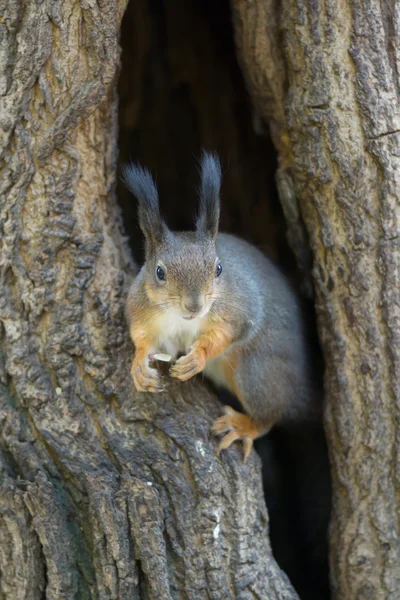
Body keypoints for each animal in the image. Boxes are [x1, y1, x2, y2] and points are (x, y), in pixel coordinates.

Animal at [123, 152, 318, 462]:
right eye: (159, 272)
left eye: (218, 268)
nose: (195, 305)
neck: (182, 320)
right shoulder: (140, 311)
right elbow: (142, 338)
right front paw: (139, 365)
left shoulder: (240, 309)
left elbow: (227, 333)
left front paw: (197, 358)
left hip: (258, 373)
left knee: (269, 416)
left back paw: (244, 426)